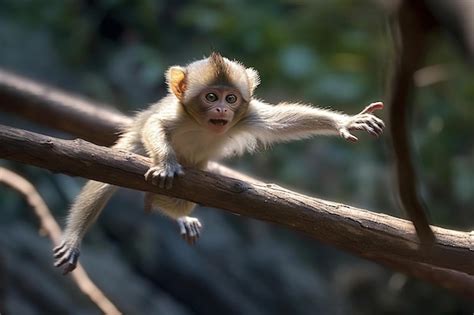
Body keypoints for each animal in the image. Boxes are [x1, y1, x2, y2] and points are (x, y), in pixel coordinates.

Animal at [52, 51, 386, 274]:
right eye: (211, 97)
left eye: (231, 99)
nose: (223, 111)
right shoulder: (176, 114)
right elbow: (155, 126)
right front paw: (165, 163)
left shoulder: (246, 116)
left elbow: (280, 122)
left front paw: (346, 121)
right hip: (133, 149)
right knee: (106, 178)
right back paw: (76, 236)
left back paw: (172, 211)